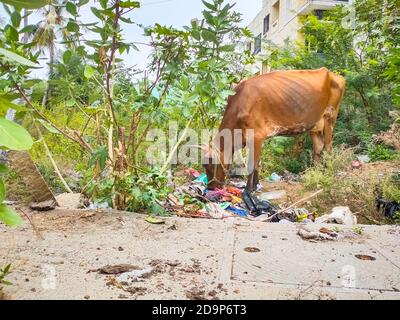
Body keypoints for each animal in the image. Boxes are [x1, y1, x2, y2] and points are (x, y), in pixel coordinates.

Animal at [205, 67, 346, 190]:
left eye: (212, 165)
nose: (211, 187)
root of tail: (333, 74)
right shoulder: (258, 137)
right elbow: (258, 162)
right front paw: (256, 186)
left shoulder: (256, 135)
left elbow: (252, 164)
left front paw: (248, 191)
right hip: (315, 125)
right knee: (318, 147)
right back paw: (314, 175)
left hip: (330, 117)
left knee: (328, 147)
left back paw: (328, 174)